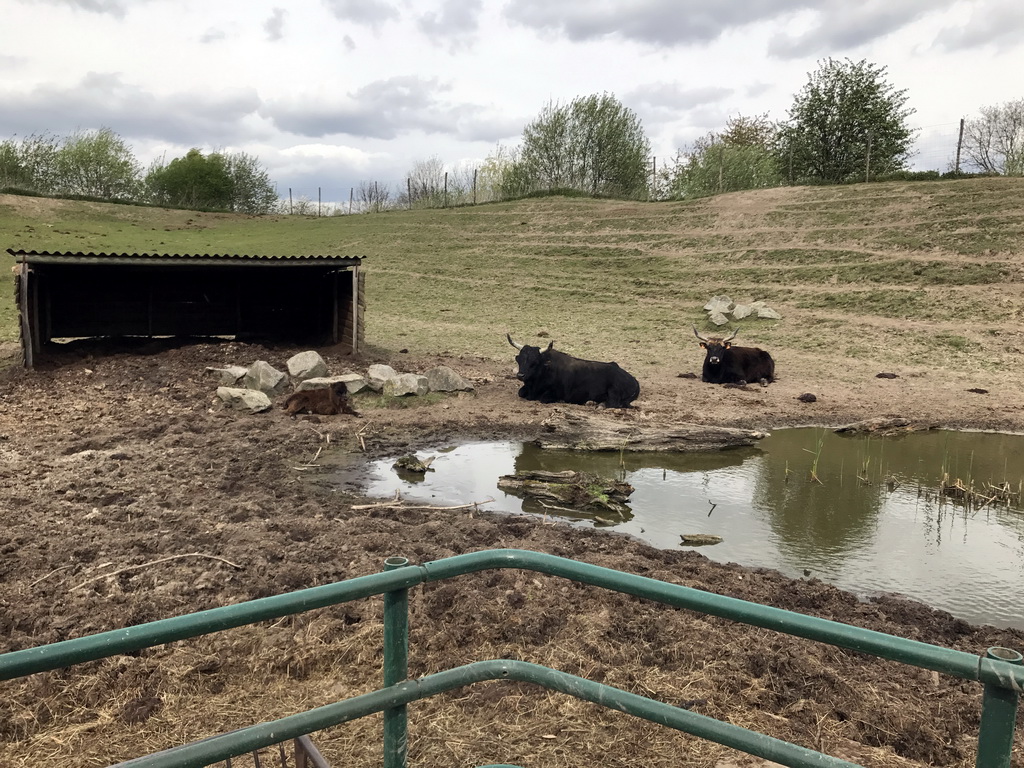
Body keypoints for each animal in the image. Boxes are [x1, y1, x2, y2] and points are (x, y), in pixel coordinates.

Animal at [505, 335, 638, 409]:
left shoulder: (555, 393)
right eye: (519, 359)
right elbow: (520, 392)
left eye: (535, 362)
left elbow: (544, 398)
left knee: (613, 404)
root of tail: (634, 381)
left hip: (614, 392)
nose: (520, 375)